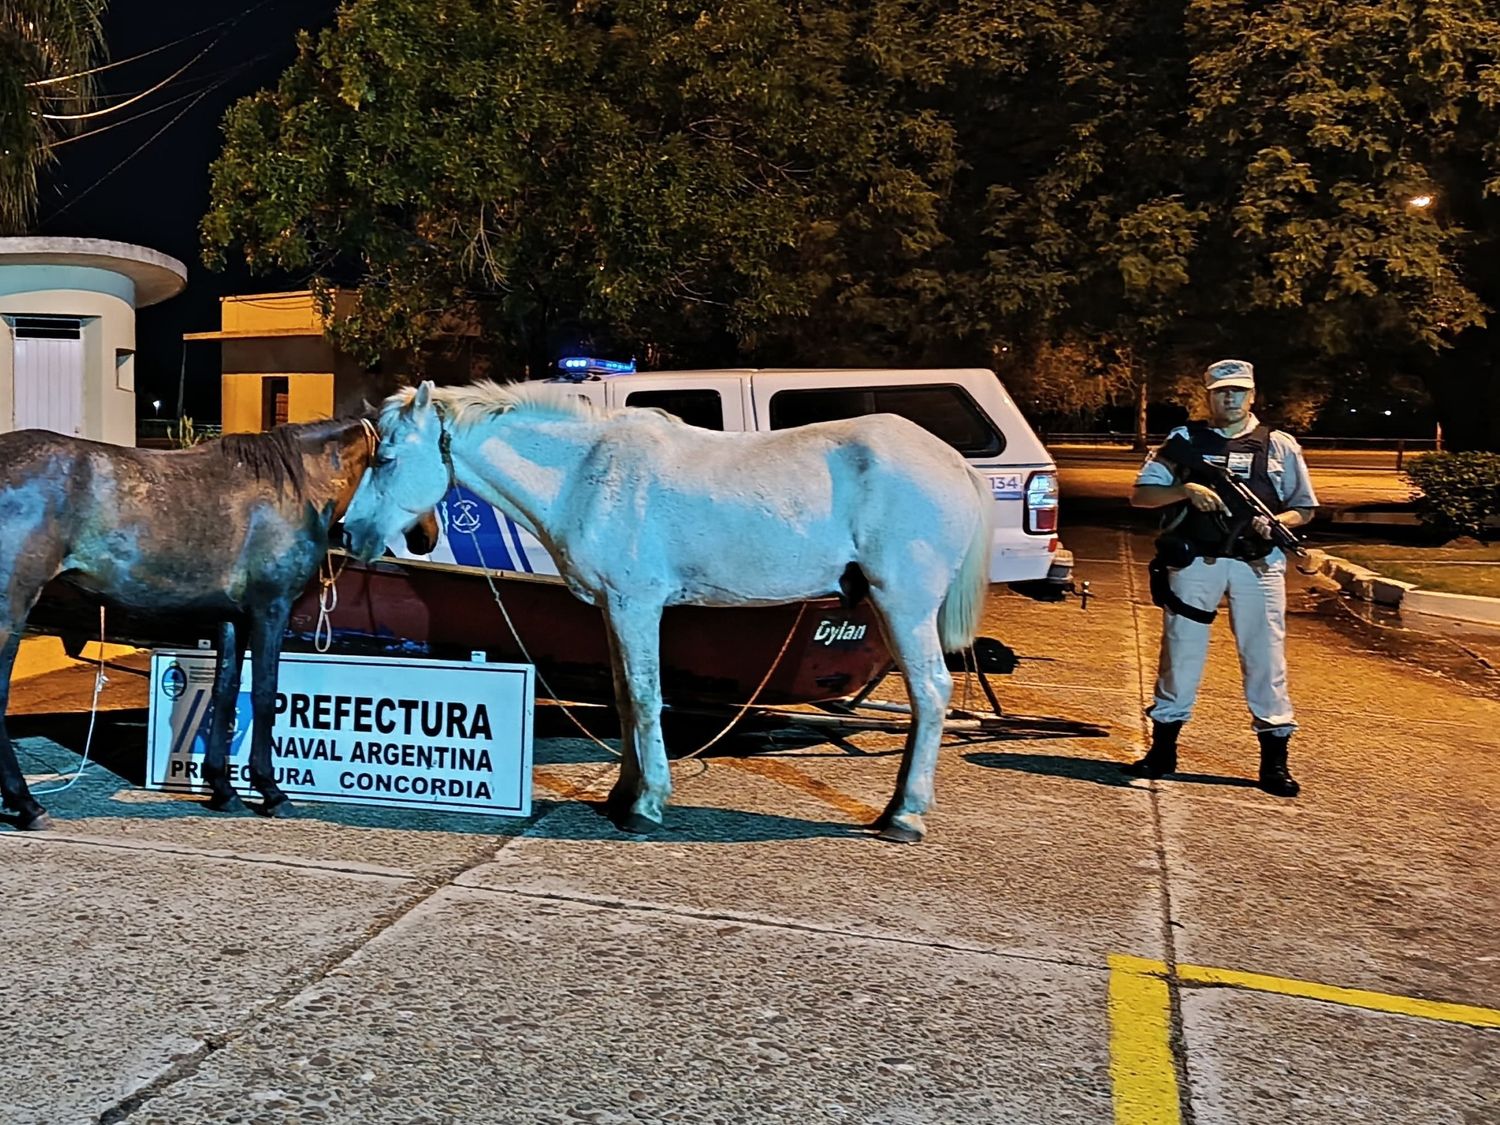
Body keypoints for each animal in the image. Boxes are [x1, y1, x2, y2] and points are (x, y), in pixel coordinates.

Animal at [0, 420, 435, 834]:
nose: (427, 537)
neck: (297, 487)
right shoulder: (270, 609)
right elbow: (264, 692)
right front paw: (271, 791)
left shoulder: (232, 618)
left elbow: (225, 691)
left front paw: (223, 789)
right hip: (13, 607)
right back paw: (28, 806)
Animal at [343, 384, 996, 840]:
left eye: (387, 458)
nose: (350, 533)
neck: (584, 473)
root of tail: (953, 462)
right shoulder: (613, 610)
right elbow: (623, 697)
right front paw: (623, 794)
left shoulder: (637, 604)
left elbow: (643, 696)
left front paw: (647, 804)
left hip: (903, 603)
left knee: (930, 692)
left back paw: (903, 816)